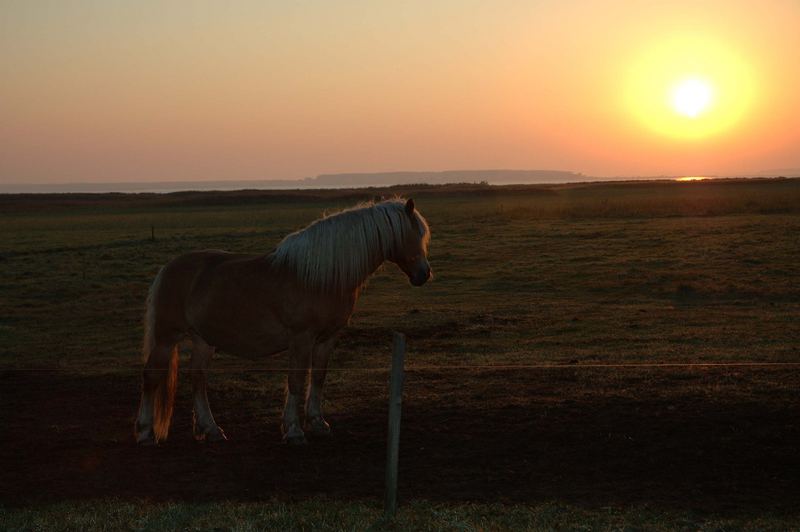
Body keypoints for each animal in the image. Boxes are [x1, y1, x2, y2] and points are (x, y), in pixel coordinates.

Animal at [134, 197, 432, 446]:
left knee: (198, 378)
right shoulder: (301, 338)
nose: (424, 274)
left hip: (203, 340)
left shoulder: (327, 338)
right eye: (412, 235)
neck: (320, 278)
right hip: (166, 337)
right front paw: (294, 431)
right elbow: (296, 380)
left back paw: (212, 430)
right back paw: (146, 432)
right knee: (152, 376)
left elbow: (318, 377)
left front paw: (318, 424)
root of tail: (168, 268)